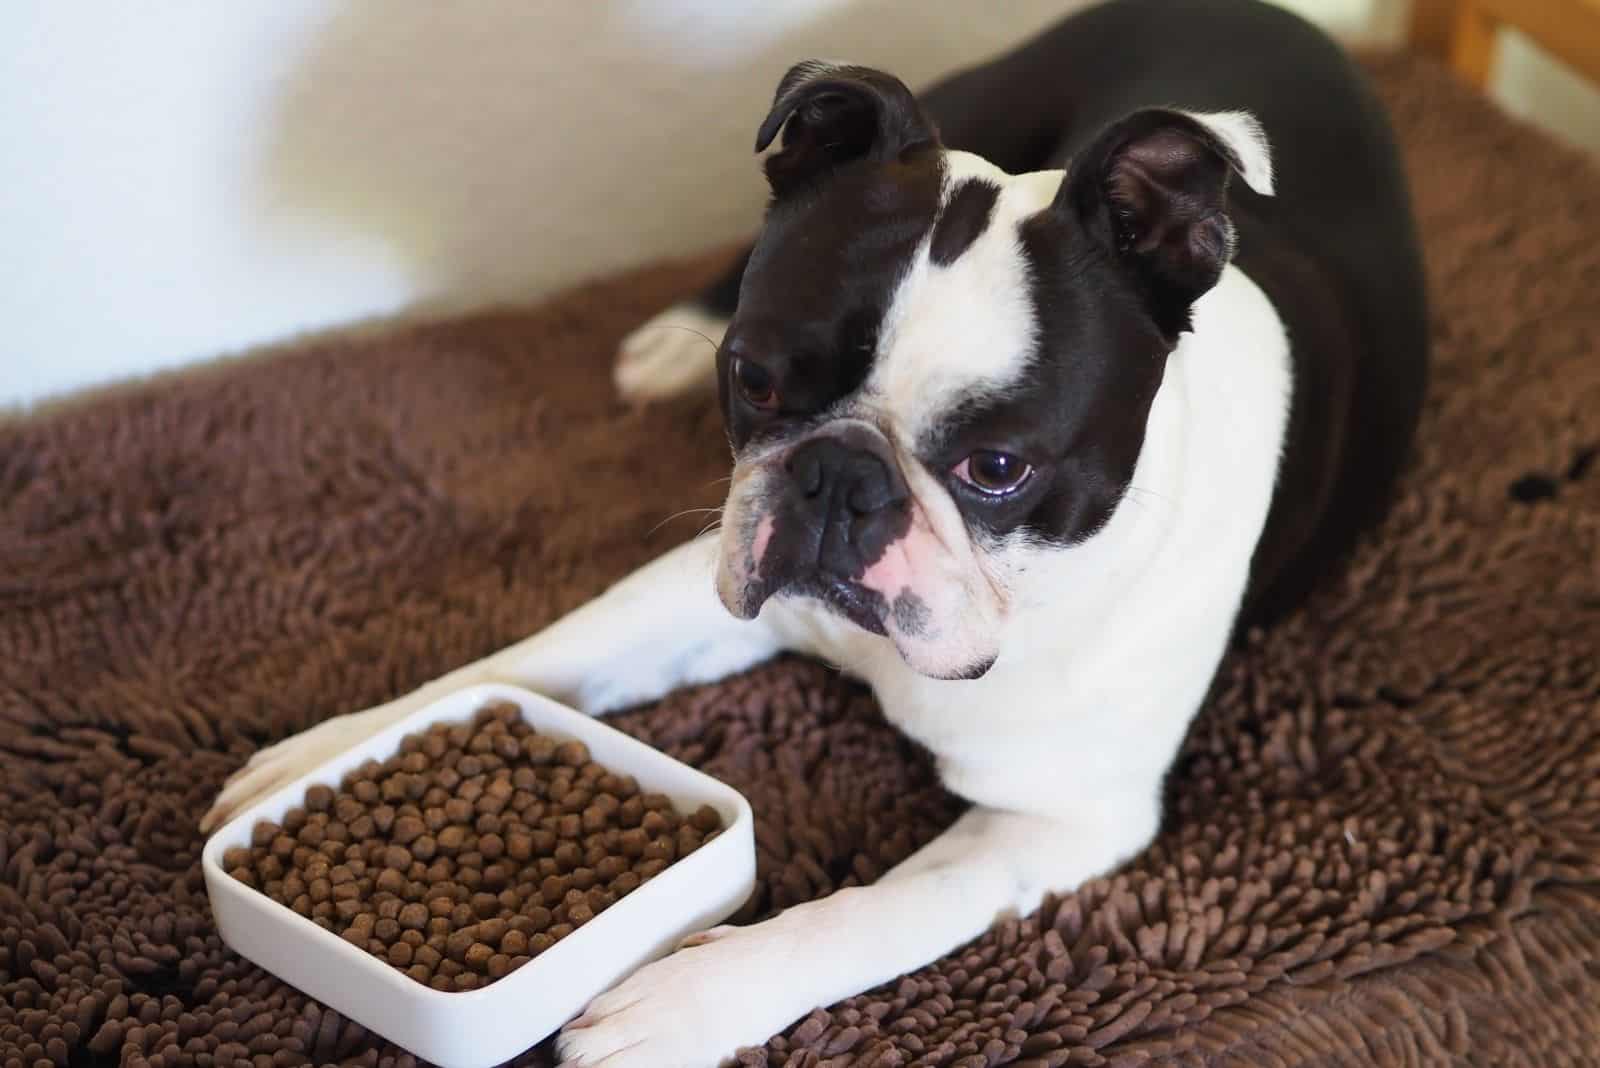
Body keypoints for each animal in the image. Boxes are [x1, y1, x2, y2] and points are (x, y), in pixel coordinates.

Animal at [200, 0, 1427, 1061]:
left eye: (998, 469)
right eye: (753, 379)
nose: (840, 477)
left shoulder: (1060, 819)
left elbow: (872, 912)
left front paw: (686, 998)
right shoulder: (702, 580)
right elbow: (535, 657)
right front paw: (334, 750)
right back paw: (658, 344)